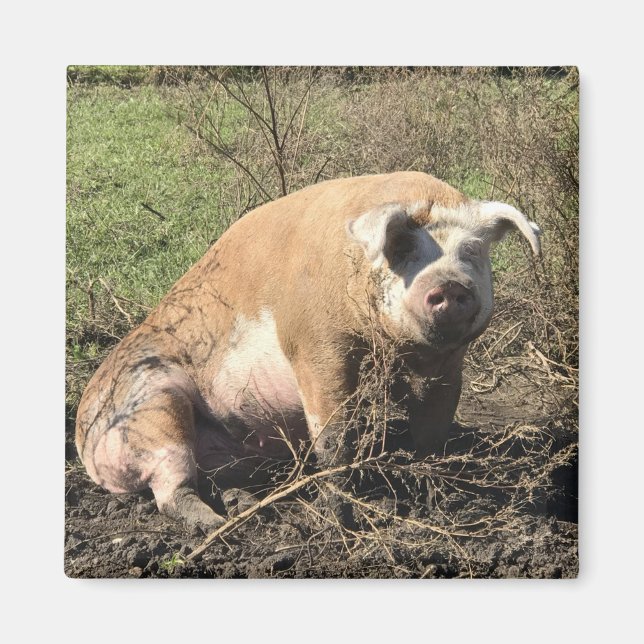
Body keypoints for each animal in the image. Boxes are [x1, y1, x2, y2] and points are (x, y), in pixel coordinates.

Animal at [75, 171, 541, 532]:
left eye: (472, 252)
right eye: (403, 250)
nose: (450, 285)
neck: (391, 348)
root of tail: (82, 436)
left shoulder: (447, 363)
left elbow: (433, 431)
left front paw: (439, 495)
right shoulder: (314, 346)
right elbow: (334, 435)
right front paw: (341, 517)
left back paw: (246, 507)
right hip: (152, 405)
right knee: (170, 490)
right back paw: (220, 525)